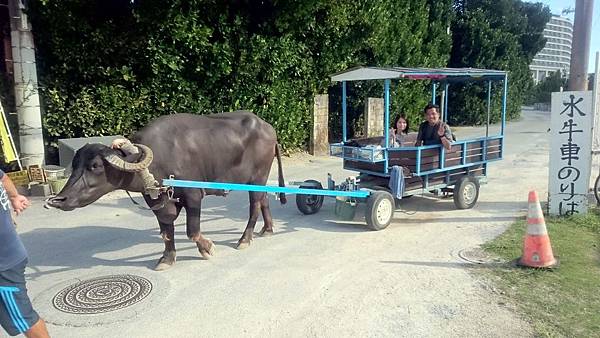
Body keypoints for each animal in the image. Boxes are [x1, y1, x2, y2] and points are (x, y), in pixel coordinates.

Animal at [48, 111, 288, 270]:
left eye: (95, 166)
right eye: (75, 165)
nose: (58, 199)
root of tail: (269, 128)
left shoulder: (193, 196)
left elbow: (192, 230)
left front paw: (208, 248)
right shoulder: (157, 201)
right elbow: (166, 231)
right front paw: (167, 258)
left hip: (257, 176)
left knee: (254, 204)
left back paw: (244, 239)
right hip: (259, 179)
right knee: (264, 199)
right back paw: (267, 229)